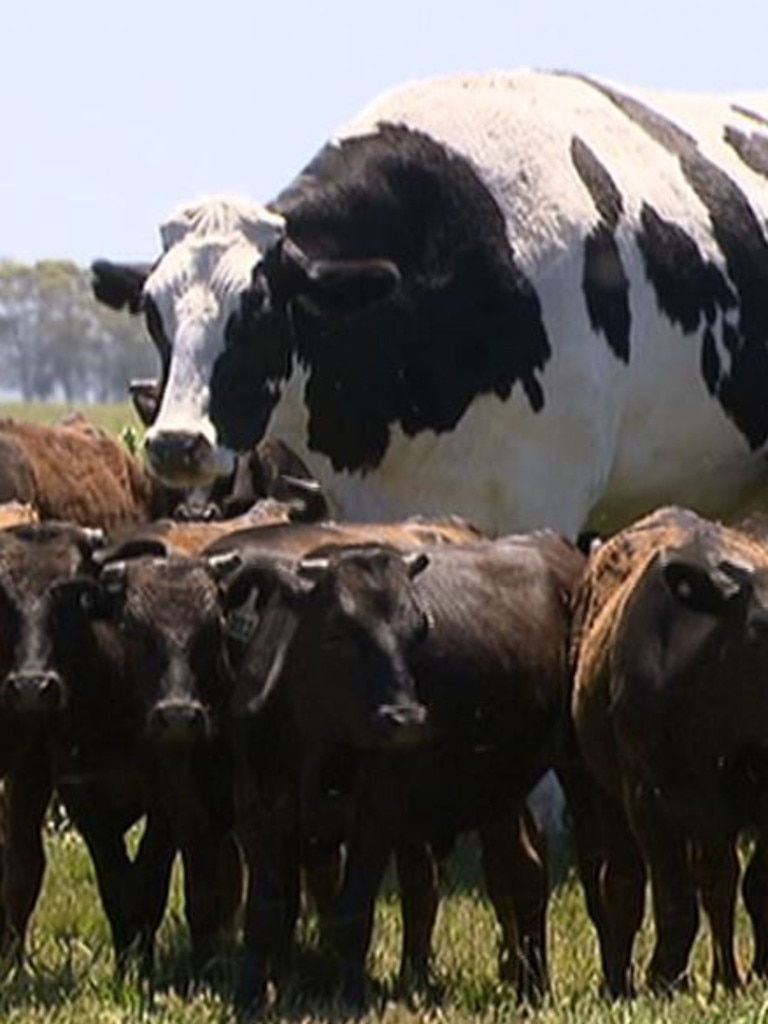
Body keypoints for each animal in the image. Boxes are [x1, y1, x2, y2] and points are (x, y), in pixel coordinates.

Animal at [573, 507, 768, 995]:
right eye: (761, 629)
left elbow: (757, 886)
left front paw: (758, 973)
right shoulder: (650, 797)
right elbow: (674, 898)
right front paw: (665, 979)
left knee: (718, 881)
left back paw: (726, 978)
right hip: (602, 791)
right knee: (623, 883)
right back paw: (619, 983)